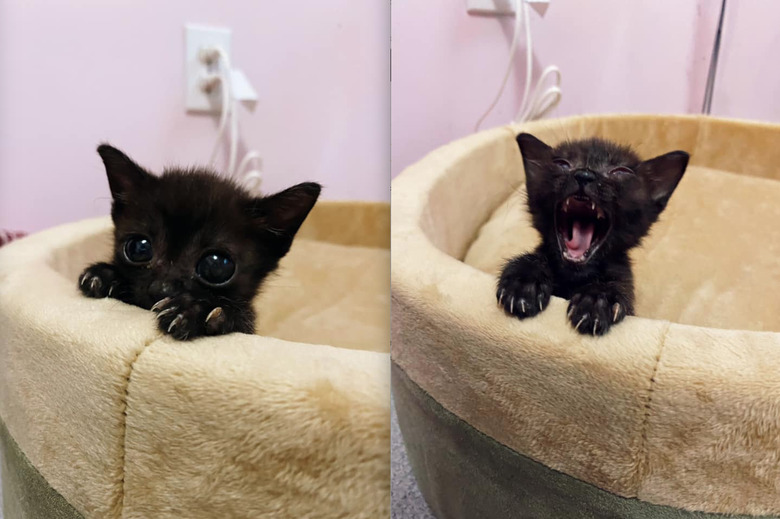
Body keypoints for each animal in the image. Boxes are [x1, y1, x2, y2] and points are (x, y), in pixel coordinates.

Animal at [500, 133, 688, 338]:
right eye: (562, 163)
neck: (574, 276)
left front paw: (598, 300)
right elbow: (535, 258)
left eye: (621, 171)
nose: (584, 174)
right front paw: (524, 281)